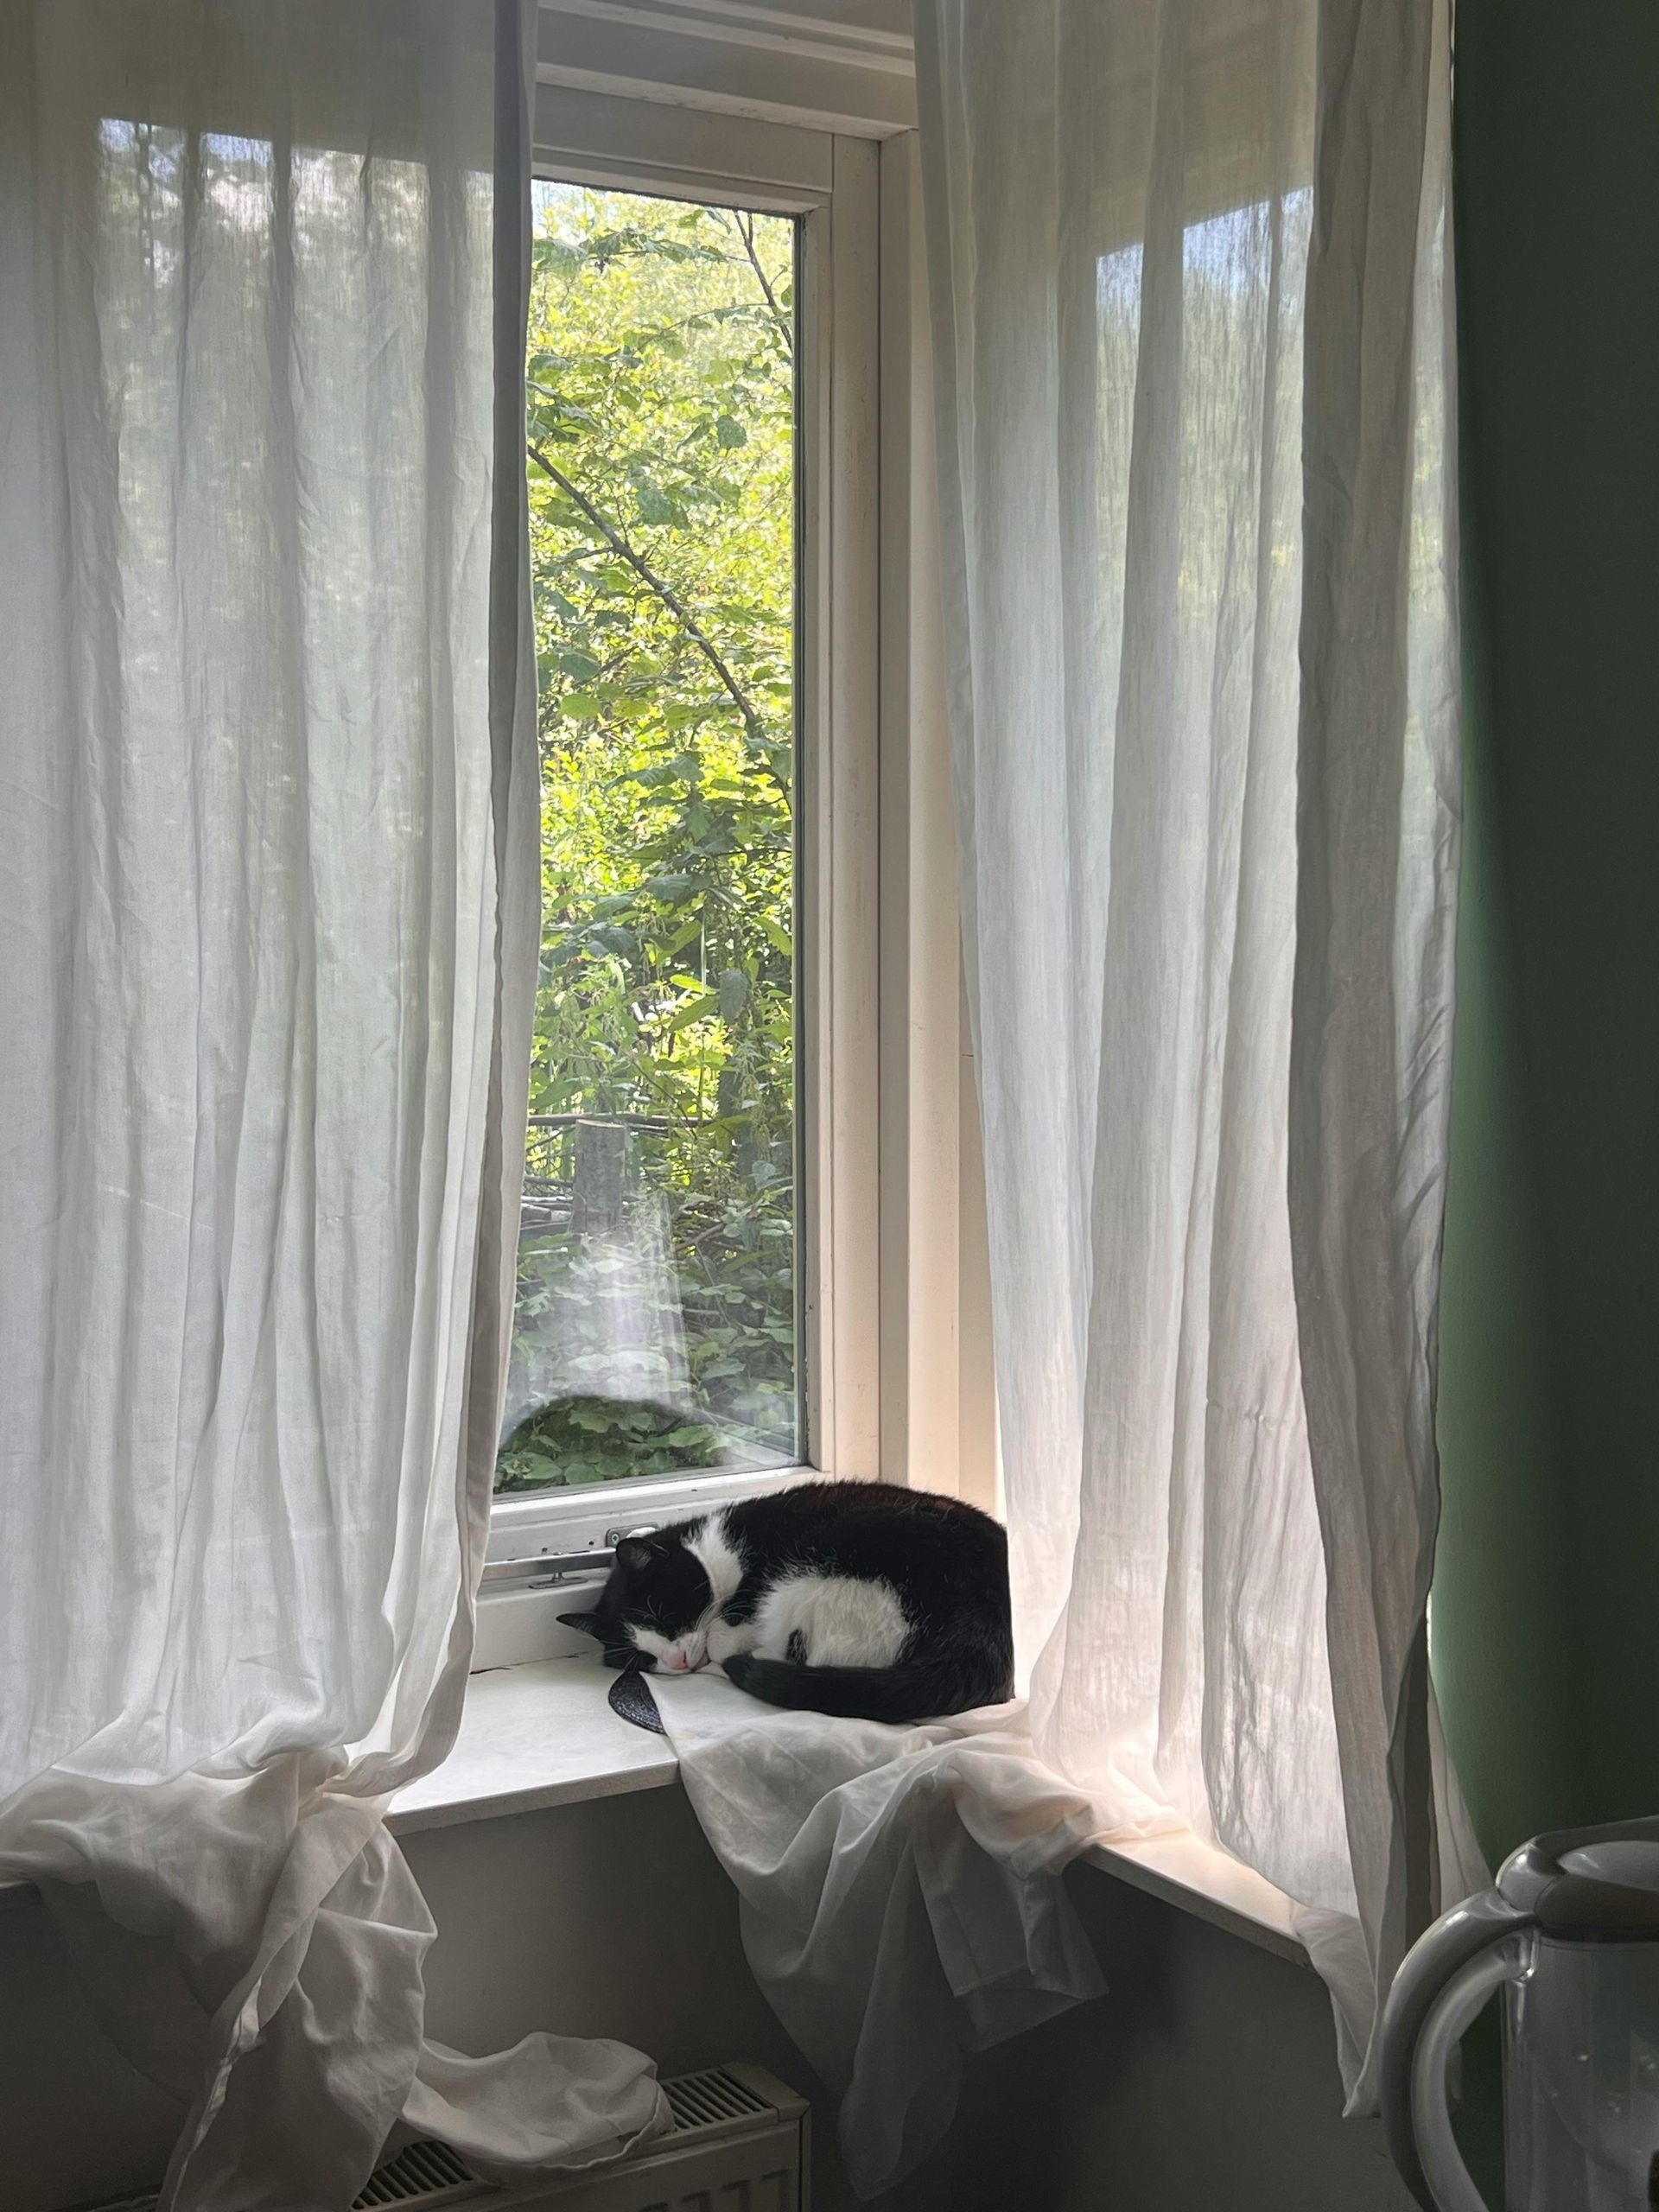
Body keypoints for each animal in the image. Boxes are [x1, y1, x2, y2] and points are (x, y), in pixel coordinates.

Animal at [558, 1479, 1014, 1724]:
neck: (721, 1548)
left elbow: (723, 1636)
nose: (678, 1662)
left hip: (820, 1579)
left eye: (666, 1619)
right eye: (640, 1658)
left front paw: (722, 1641)